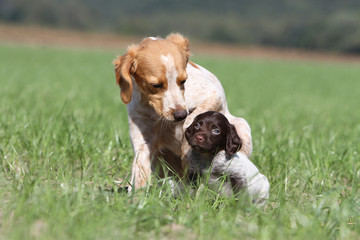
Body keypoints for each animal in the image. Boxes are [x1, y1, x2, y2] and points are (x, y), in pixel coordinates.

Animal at [114, 33, 252, 191]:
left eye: (183, 81)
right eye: (155, 85)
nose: (180, 115)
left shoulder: (215, 94)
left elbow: (194, 115)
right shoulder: (143, 140)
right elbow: (139, 176)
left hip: (242, 126)